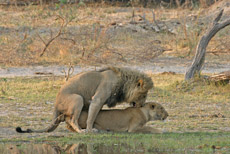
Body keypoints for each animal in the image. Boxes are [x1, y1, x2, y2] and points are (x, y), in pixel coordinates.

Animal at [15, 67, 153, 133]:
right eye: (144, 94)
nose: (143, 104)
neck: (122, 82)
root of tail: (55, 104)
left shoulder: (100, 102)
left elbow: (94, 115)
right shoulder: (97, 99)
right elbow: (91, 117)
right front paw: (90, 130)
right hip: (78, 98)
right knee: (72, 119)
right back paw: (81, 131)